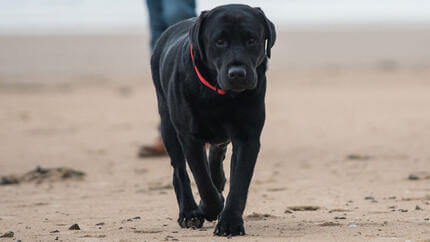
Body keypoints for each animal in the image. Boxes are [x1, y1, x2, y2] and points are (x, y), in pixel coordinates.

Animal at [150, 3, 276, 236]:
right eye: (219, 41)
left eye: (251, 39)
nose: (237, 73)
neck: (220, 97)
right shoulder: (189, 137)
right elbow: (202, 180)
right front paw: (211, 207)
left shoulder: (248, 137)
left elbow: (239, 182)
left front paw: (230, 222)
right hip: (167, 125)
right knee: (180, 171)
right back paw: (189, 212)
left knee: (216, 156)